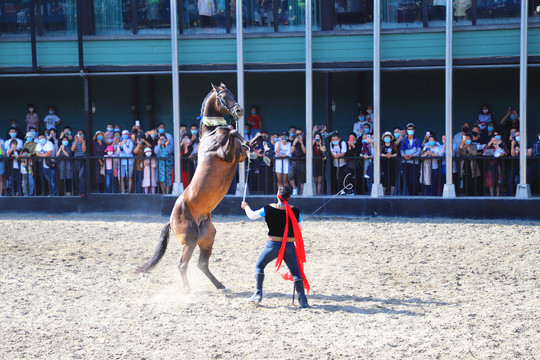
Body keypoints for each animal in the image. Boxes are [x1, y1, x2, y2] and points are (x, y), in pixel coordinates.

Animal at [137, 82, 260, 292]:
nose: (239, 110)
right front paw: (244, 136)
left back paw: (221, 286)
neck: (211, 133)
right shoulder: (226, 154)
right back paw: (188, 290)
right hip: (190, 240)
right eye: (222, 96)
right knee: (183, 264)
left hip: (207, 237)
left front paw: (259, 142)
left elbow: (246, 143)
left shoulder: (239, 157)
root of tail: (170, 221)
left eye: (232, 93)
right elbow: (232, 133)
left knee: (202, 264)